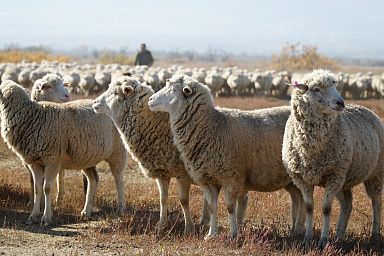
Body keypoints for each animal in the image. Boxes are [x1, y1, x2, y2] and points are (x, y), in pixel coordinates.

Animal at [0, 80, 127, 226]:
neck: (32, 116)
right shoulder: (34, 162)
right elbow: (37, 188)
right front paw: (33, 215)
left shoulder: (52, 159)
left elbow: (47, 188)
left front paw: (46, 217)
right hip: (86, 157)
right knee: (93, 180)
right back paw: (86, 212)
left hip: (117, 151)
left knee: (119, 179)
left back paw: (121, 208)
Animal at [92, 76, 249, 234]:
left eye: (114, 93)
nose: (94, 103)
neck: (155, 123)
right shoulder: (162, 172)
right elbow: (163, 199)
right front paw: (161, 224)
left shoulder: (182, 174)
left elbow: (183, 201)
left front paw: (188, 228)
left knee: (241, 198)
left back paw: (237, 225)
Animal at [148, 74, 306, 240]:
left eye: (173, 90)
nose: (150, 100)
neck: (212, 126)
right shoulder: (207, 179)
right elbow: (212, 206)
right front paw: (211, 234)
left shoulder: (230, 177)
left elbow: (230, 207)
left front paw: (233, 234)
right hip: (291, 179)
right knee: (297, 198)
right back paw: (295, 229)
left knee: (302, 199)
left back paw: (300, 229)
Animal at [282, 68, 384, 248]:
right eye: (316, 89)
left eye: (335, 87)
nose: (341, 103)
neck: (312, 149)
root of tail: (366, 109)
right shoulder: (303, 178)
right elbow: (309, 207)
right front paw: (308, 239)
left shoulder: (333, 175)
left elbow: (326, 209)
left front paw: (323, 241)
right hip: (345, 178)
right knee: (347, 204)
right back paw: (339, 235)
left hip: (374, 174)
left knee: (376, 202)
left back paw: (374, 235)